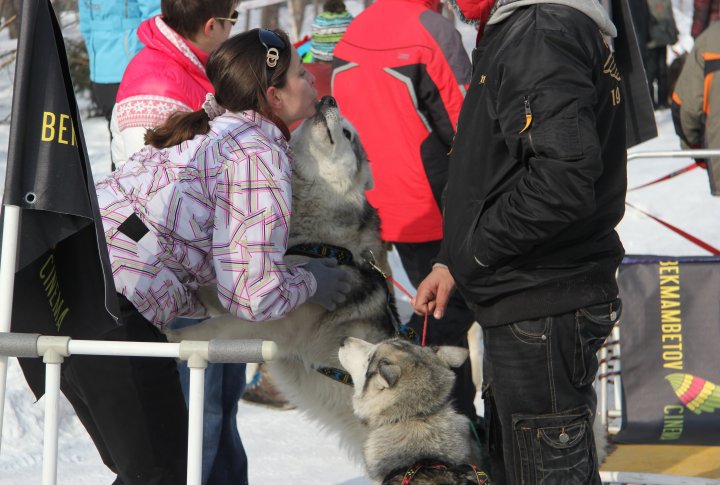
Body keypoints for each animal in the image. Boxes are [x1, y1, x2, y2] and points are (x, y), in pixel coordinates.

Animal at [165, 96, 400, 460]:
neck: (321, 242)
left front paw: (174, 336)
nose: (329, 98)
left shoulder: (275, 323)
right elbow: (218, 293)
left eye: (348, 134)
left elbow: (218, 326)